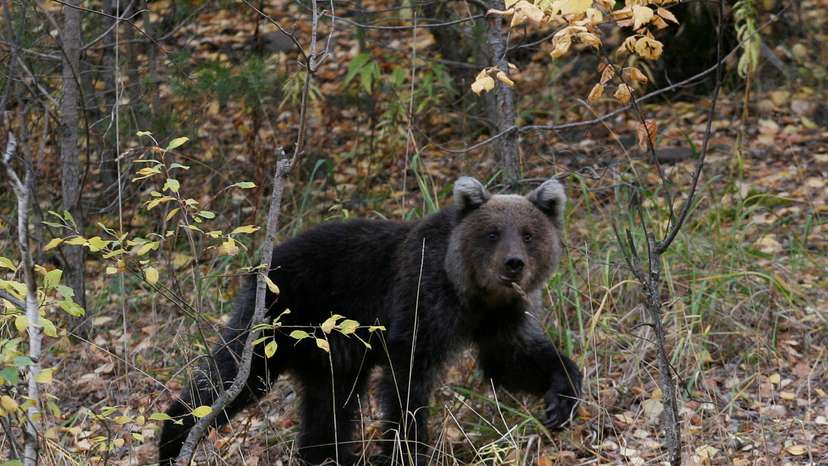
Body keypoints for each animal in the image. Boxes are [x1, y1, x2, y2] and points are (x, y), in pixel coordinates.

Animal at [158, 176, 581, 465]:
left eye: (528, 234)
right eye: (492, 233)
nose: (513, 265)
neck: (471, 293)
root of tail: (263, 262)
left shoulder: (499, 318)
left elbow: (512, 360)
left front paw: (561, 400)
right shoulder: (422, 300)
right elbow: (408, 383)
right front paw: (407, 448)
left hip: (330, 351)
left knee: (329, 406)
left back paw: (326, 455)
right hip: (277, 320)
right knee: (232, 376)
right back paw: (174, 437)